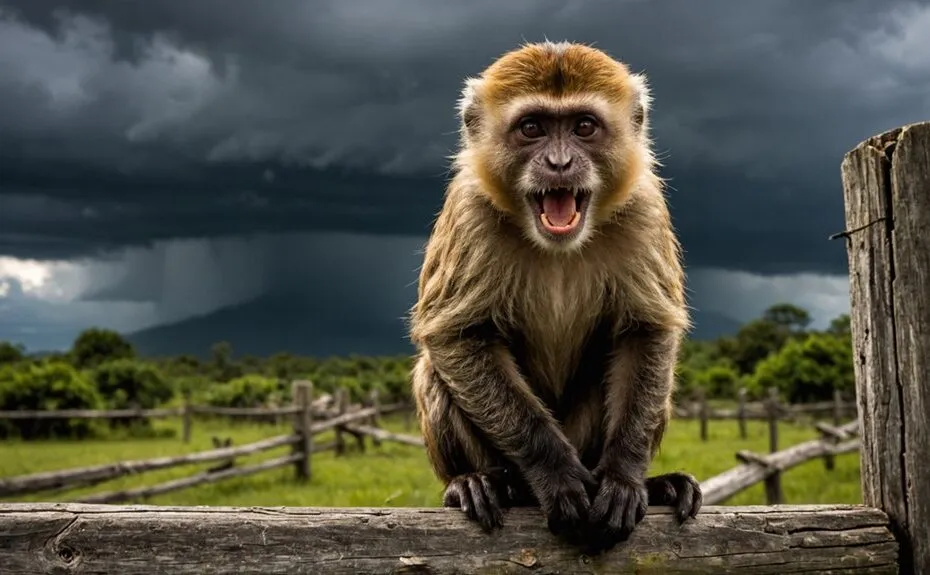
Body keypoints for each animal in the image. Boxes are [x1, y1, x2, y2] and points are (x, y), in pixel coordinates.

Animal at [408, 41, 702, 551]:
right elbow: (455, 335)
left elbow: (645, 331)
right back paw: (483, 482)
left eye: (583, 126)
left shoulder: (644, 206)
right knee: (434, 371)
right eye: (532, 128)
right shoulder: (469, 210)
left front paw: (624, 478)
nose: (560, 163)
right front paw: (555, 473)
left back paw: (655, 486)